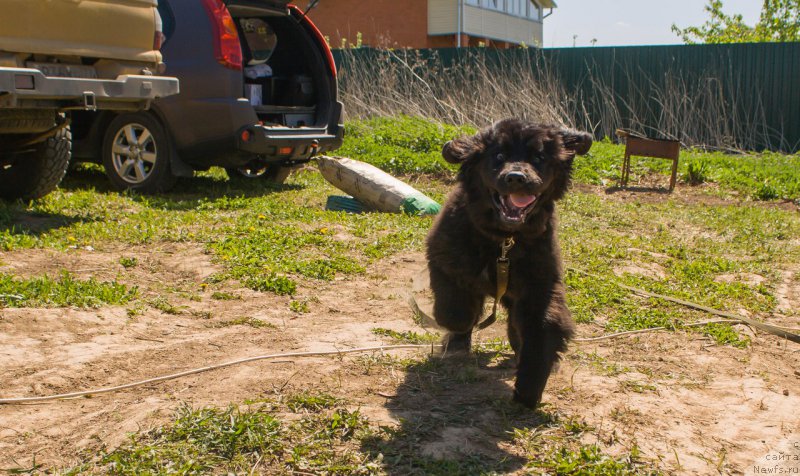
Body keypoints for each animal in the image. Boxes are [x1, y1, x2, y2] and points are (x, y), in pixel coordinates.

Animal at [428, 119, 592, 410]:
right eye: (499, 156)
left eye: (539, 158)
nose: (516, 177)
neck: (505, 241)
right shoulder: (445, 260)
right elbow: (456, 312)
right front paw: (457, 334)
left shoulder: (540, 286)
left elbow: (542, 330)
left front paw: (529, 388)